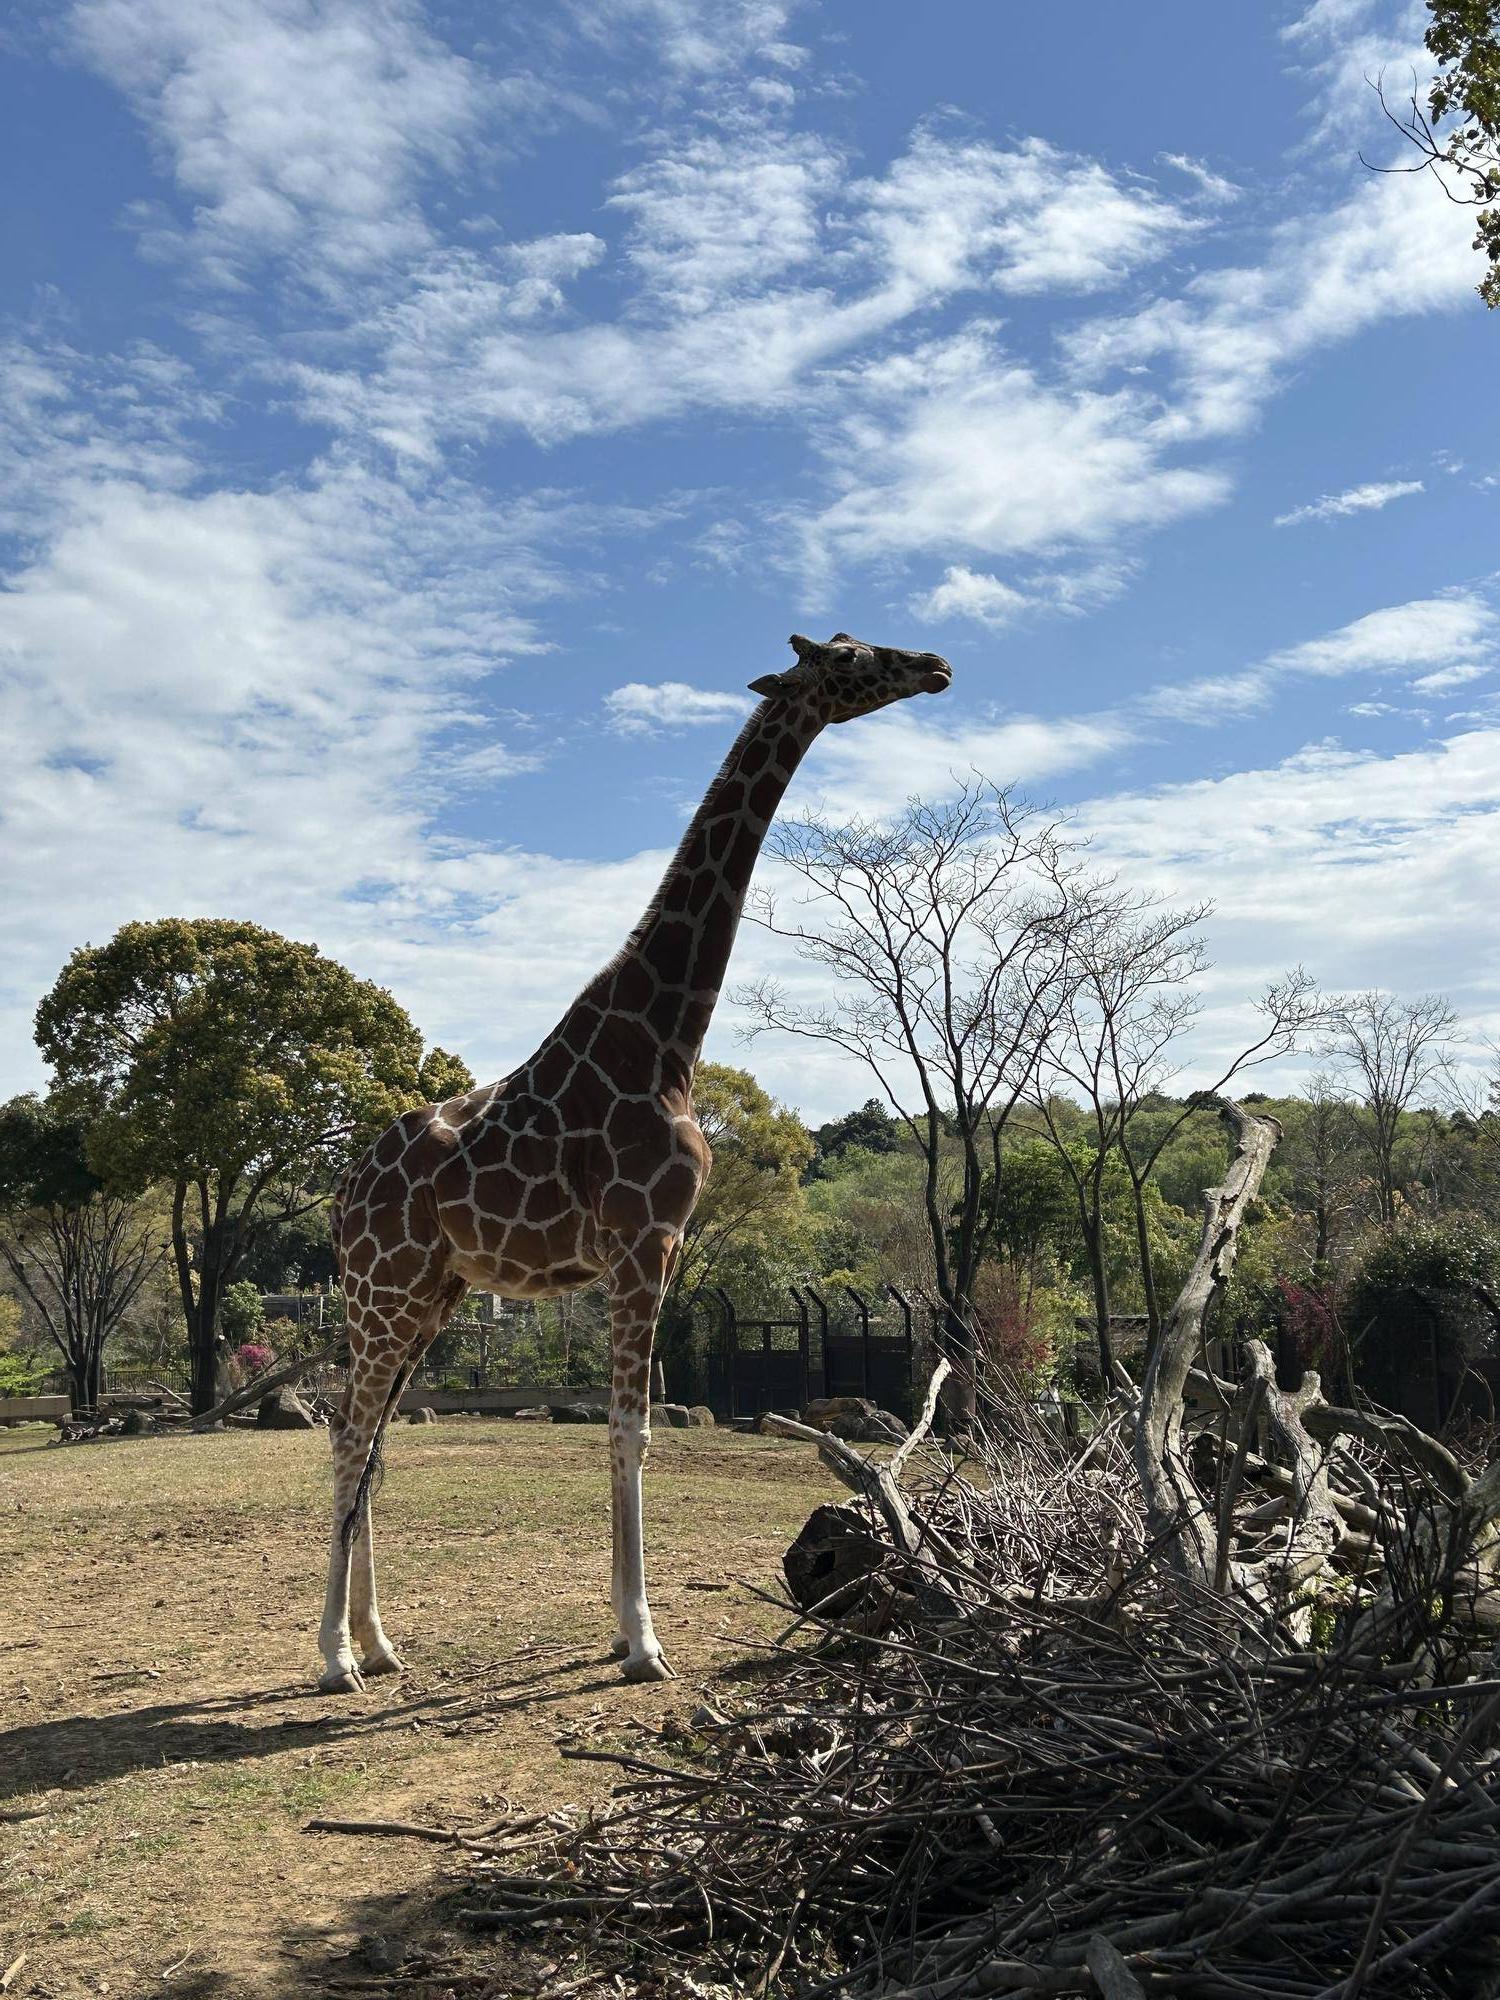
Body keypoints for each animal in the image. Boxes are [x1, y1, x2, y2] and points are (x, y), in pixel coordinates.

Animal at [320, 628, 952, 1688]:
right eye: (851, 655)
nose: (936, 665)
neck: (666, 1038)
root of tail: (340, 1196)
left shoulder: (648, 1252)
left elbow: (630, 1428)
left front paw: (624, 1632)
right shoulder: (643, 1244)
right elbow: (631, 1432)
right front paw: (643, 1642)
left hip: (432, 1295)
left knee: (373, 1445)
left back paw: (380, 1641)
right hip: (384, 1289)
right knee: (345, 1432)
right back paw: (333, 1657)